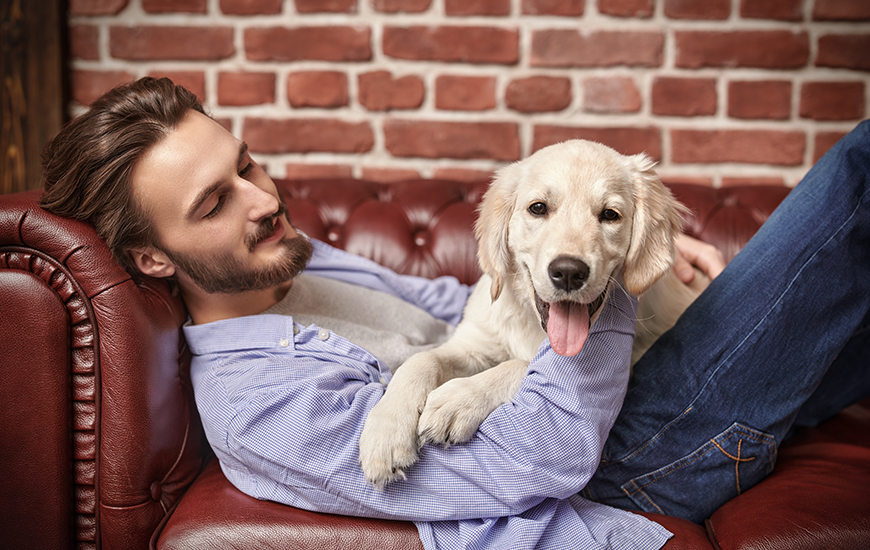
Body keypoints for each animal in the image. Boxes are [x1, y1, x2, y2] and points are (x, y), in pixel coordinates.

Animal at [358, 140, 704, 490]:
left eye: (610, 215)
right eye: (538, 208)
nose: (568, 272)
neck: (533, 325)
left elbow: (521, 365)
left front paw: (459, 399)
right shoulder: (475, 344)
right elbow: (421, 360)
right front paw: (386, 431)